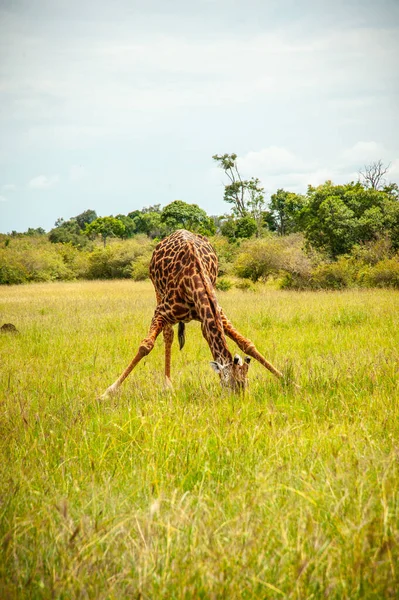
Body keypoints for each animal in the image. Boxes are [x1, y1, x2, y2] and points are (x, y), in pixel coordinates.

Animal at [103, 227, 284, 396]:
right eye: (230, 385)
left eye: (245, 385)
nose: (238, 402)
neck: (194, 279)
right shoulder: (161, 312)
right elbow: (145, 346)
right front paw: (107, 392)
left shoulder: (217, 311)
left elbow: (246, 343)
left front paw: (286, 379)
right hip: (157, 292)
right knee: (168, 335)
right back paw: (167, 385)